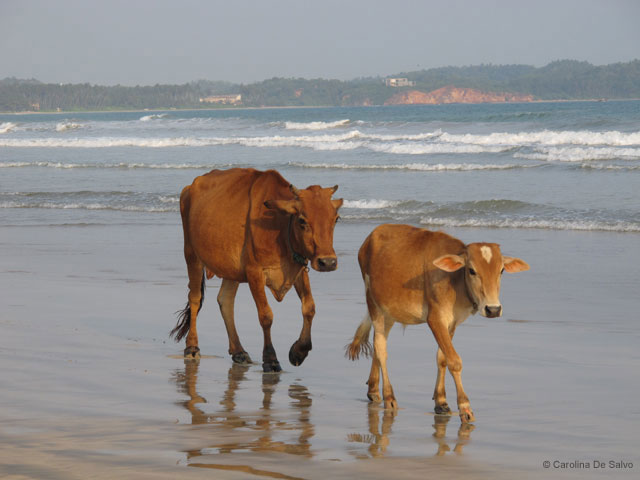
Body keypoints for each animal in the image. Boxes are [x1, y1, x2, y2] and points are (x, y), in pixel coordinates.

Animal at [169, 167, 340, 374]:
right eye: (302, 220)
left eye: (336, 219)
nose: (328, 262)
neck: (280, 227)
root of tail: (189, 187)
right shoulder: (254, 272)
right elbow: (266, 316)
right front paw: (270, 359)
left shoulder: (299, 267)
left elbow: (309, 308)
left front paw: (299, 351)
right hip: (191, 254)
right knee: (194, 299)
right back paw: (192, 347)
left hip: (230, 268)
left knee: (225, 300)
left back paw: (238, 351)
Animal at [348, 223, 528, 422]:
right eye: (472, 270)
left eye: (501, 270)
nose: (493, 309)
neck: (455, 281)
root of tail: (372, 235)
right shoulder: (435, 318)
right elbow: (454, 361)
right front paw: (465, 407)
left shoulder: (452, 323)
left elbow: (442, 358)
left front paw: (441, 401)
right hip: (374, 304)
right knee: (381, 349)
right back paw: (389, 397)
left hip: (389, 311)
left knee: (378, 344)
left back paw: (373, 389)